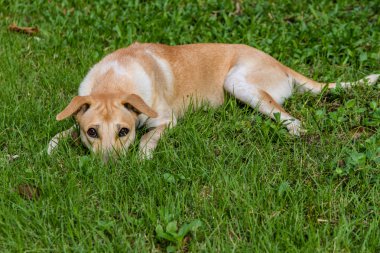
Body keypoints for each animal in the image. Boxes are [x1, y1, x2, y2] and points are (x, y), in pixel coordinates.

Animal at [49, 42, 378, 161]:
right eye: (92, 132)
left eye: (123, 131)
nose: (109, 166)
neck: (114, 80)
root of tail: (281, 65)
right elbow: (57, 136)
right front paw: (45, 154)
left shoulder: (166, 120)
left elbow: (147, 140)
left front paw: (142, 157)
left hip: (237, 82)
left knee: (288, 116)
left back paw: (297, 132)